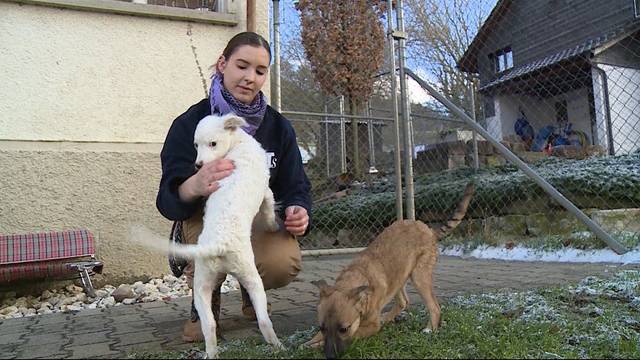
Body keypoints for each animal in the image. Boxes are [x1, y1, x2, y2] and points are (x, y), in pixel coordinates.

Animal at [132, 114, 282, 358]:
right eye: (195, 145)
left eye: (212, 143)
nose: (198, 166)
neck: (238, 144)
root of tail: (218, 243)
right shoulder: (266, 192)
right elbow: (270, 208)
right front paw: (272, 226)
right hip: (251, 276)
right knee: (263, 321)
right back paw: (279, 346)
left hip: (202, 283)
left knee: (209, 325)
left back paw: (211, 352)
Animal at [304, 184, 476, 358]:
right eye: (321, 327)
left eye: (344, 329)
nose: (330, 356)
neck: (355, 279)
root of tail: (429, 230)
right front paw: (310, 342)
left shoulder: (371, 327)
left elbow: (356, 334)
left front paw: (316, 345)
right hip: (399, 276)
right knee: (403, 302)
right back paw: (388, 318)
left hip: (419, 276)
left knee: (434, 307)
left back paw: (429, 330)